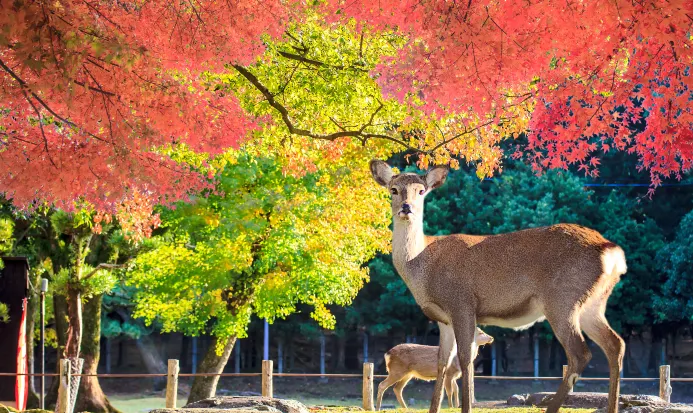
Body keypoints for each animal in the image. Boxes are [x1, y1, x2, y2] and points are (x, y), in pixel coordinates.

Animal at [369, 160, 627, 413]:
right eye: (393, 189)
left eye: (421, 191)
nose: (406, 207)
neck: (422, 267)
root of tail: (611, 252)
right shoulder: (443, 318)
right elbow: (443, 361)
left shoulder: (461, 303)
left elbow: (465, 358)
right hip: (593, 303)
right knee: (615, 344)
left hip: (562, 299)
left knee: (579, 353)